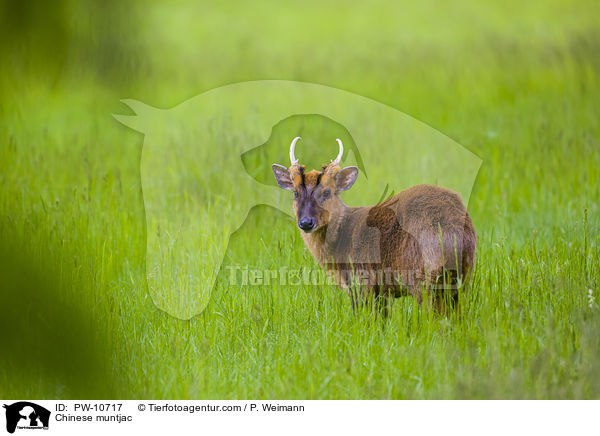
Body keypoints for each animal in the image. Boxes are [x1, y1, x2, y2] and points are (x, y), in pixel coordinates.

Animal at [274, 138, 478, 312]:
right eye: (295, 193)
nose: (306, 222)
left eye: (327, 192)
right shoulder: (381, 292)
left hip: (423, 277)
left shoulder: (362, 281)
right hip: (463, 275)